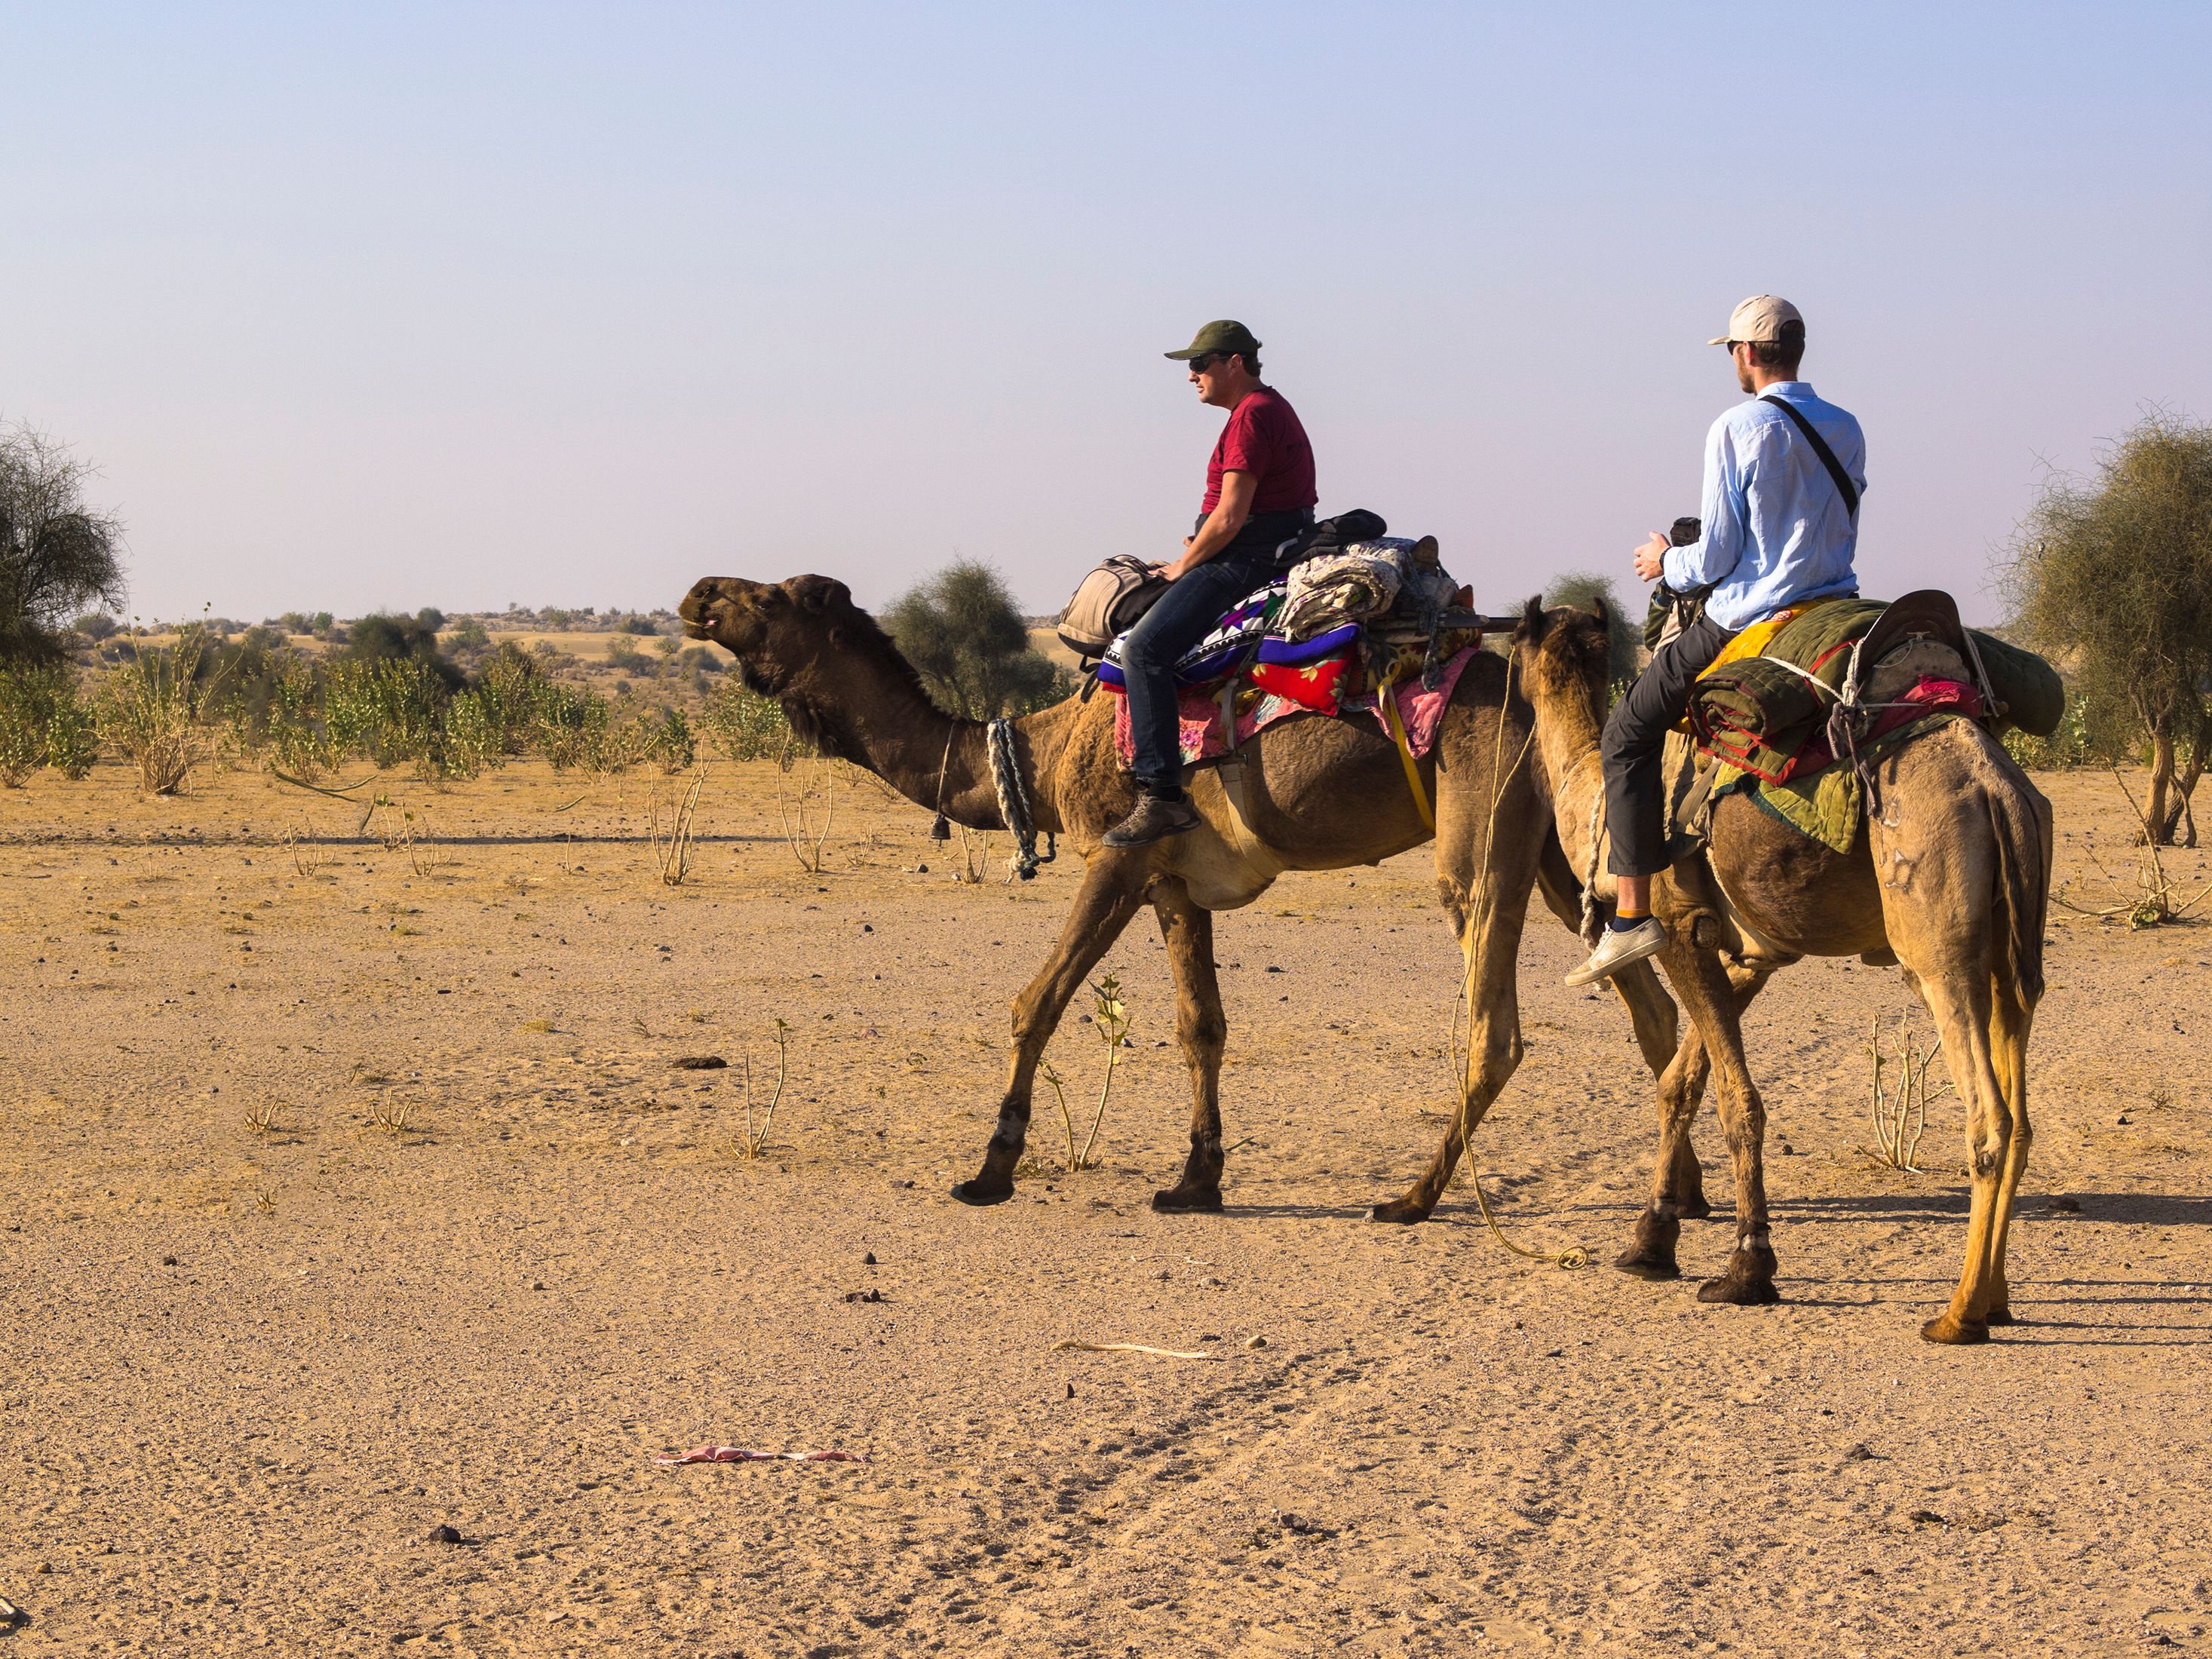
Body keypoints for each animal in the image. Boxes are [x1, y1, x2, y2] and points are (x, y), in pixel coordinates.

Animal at [679, 573, 1692, 1213]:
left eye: (773, 597)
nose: (697, 595)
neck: (1046, 748)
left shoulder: (1114, 853)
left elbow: (1034, 1002)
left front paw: (990, 1168)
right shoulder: (1174, 880)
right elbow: (1201, 1024)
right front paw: (1195, 1180)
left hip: (1478, 834)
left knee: (1498, 1028)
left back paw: (1413, 1197)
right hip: (1553, 846)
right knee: (1645, 1003)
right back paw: (1680, 1199)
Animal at [1389, 599, 2051, 1344]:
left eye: (1515, 644)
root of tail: (1993, 786)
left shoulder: (1676, 924)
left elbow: (1737, 1100)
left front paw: (1746, 1267)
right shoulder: (1751, 953)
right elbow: (1679, 1082)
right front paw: (1650, 1239)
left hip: (1935, 935)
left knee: (1988, 1118)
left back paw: (1957, 1313)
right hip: (2008, 945)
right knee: (2020, 1112)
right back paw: (1994, 1299)